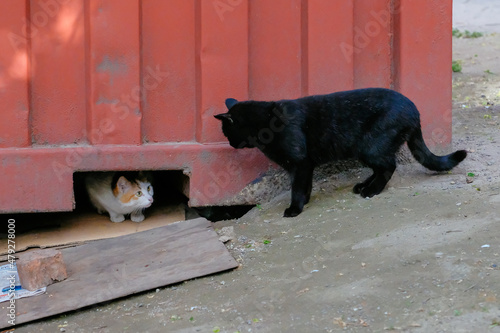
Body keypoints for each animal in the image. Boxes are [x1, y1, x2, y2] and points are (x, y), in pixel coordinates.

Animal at [215, 88, 468, 217]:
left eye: (227, 132)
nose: (230, 144)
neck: (266, 123)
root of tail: (414, 109)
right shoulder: (305, 165)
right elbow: (305, 185)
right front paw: (305, 201)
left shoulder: (300, 162)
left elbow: (297, 187)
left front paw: (295, 208)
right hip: (366, 150)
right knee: (381, 167)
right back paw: (363, 186)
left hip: (371, 146)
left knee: (388, 166)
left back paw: (371, 191)